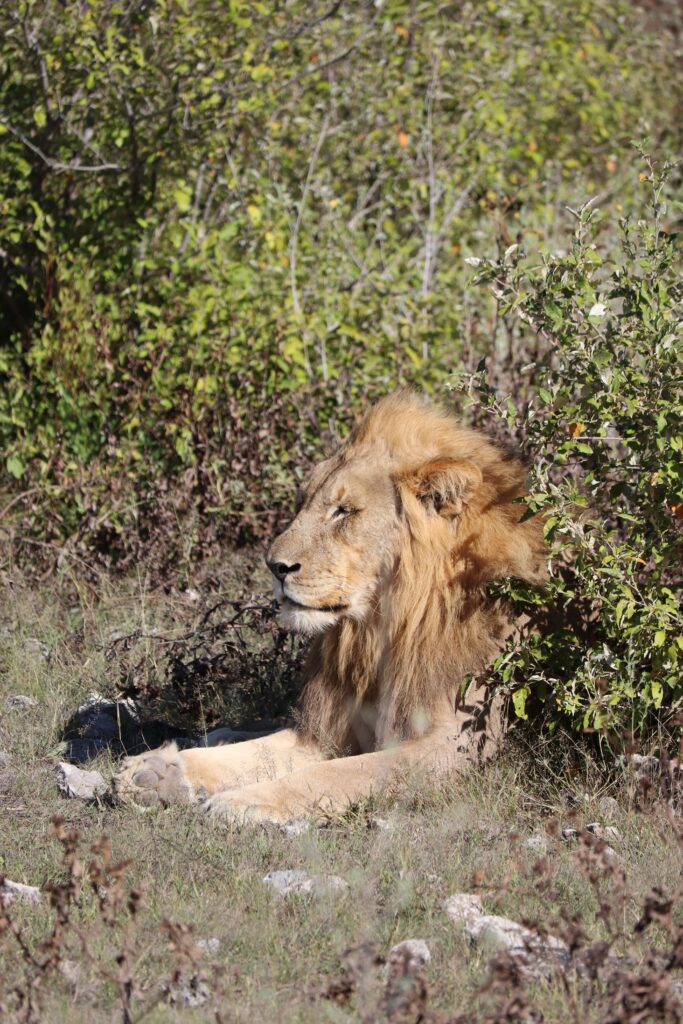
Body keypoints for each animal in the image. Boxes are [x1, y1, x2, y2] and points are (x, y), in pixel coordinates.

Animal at [114, 392, 547, 823]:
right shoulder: (325, 732)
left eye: (343, 511)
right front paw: (156, 774)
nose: (274, 566)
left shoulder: (453, 746)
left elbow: (340, 773)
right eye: (303, 502)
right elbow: (257, 753)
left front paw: (244, 802)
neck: (380, 632)